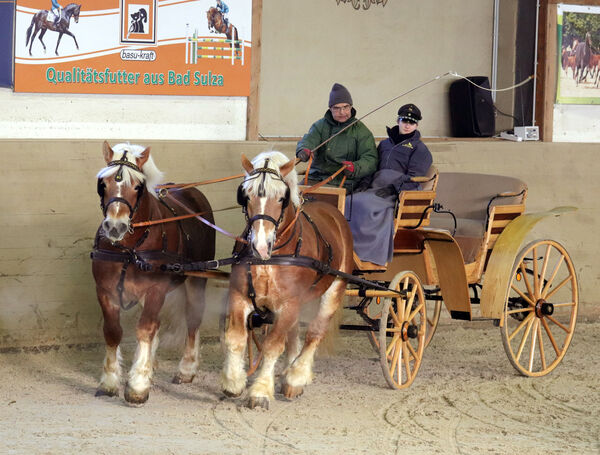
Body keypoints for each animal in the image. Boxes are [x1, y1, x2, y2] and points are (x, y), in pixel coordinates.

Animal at [91, 142, 216, 406]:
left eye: (138, 186)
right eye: (103, 184)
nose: (114, 227)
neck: (130, 247)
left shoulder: (155, 289)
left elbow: (145, 329)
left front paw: (138, 385)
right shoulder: (105, 290)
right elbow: (113, 332)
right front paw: (110, 381)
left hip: (196, 280)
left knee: (193, 319)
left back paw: (187, 369)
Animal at [220, 151, 354, 410]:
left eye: (282, 197)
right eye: (245, 195)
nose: (260, 246)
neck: (270, 259)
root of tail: (333, 212)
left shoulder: (288, 304)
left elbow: (273, 346)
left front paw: (260, 391)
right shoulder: (240, 297)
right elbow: (236, 339)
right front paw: (234, 383)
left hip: (335, 288)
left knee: (314, 332)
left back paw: (296, 376)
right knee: (293, 334)